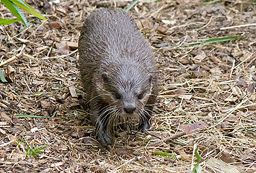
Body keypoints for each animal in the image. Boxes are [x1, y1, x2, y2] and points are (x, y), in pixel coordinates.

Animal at [78, 7, 158, 146]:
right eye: (116, 95)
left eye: (140, 95)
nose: (129, 108)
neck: (125, 55)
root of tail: (107, 9)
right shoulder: (96, 88)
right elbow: (97, 113)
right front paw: (104, 136)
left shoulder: (155, 85)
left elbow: (149, 107)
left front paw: (144, 125)